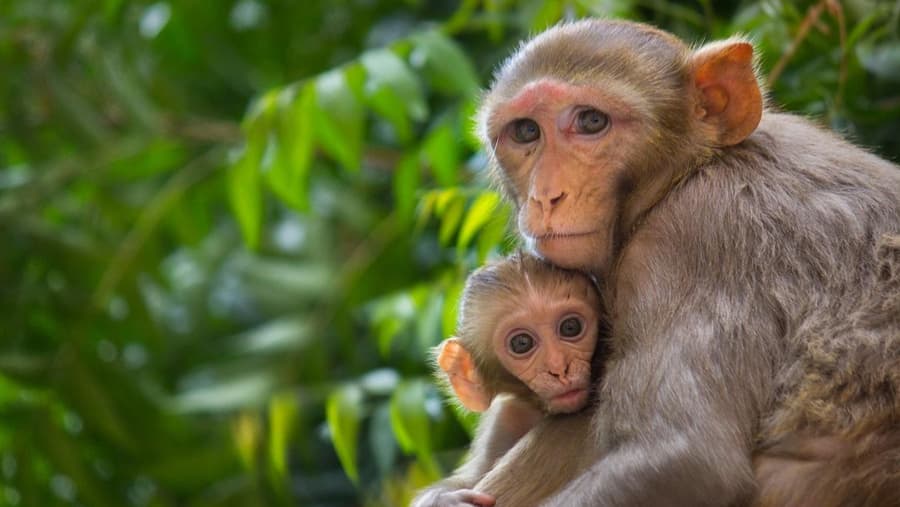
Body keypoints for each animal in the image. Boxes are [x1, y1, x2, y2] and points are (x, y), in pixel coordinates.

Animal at [412, 252, 607, 507]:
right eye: (522, 343)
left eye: (570, 327)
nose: (559, 368)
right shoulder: (506, 417)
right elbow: (472, 479)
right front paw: (442, 500)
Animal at [460, 18, 900, 507]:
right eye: (525, 132)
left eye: (591, 121)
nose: (546, 196)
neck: (691, 170)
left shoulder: (687, 242)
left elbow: (685, 458)